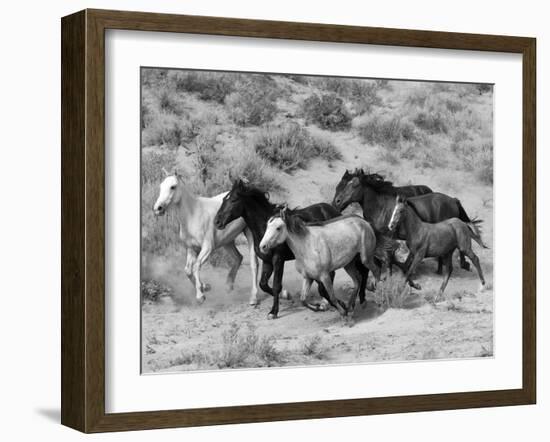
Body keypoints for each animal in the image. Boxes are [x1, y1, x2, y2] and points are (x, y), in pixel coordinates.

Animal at [153, 171, 260, 306]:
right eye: (161, 186)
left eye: (173, 186)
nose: (158, 209)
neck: (193, 215)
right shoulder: (191, 248)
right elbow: (188, 270)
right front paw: (206, 287)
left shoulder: (207, 248)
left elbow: (196, 266)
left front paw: (200, 296)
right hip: (227, 241)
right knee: (238, 257)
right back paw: (228, 285)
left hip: (249, 234)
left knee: (254, 263)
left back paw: (253, 298)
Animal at [213, 180, 368, 318]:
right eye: (224, 199)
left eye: (233, 200)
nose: (217, 222)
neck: (264, 228)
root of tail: (333, 210)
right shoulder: (267, 261)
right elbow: (263, 284)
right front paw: (287, 296)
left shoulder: (278, 260)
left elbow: (276, 285)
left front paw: (273, 311)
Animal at [332, 169, 484, 272]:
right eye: (339, 185)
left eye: (354, 184)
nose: (336, 203)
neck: (380, 207)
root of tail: (453, 200)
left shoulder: (388, 236)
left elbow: (389, 257)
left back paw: (460, 265)